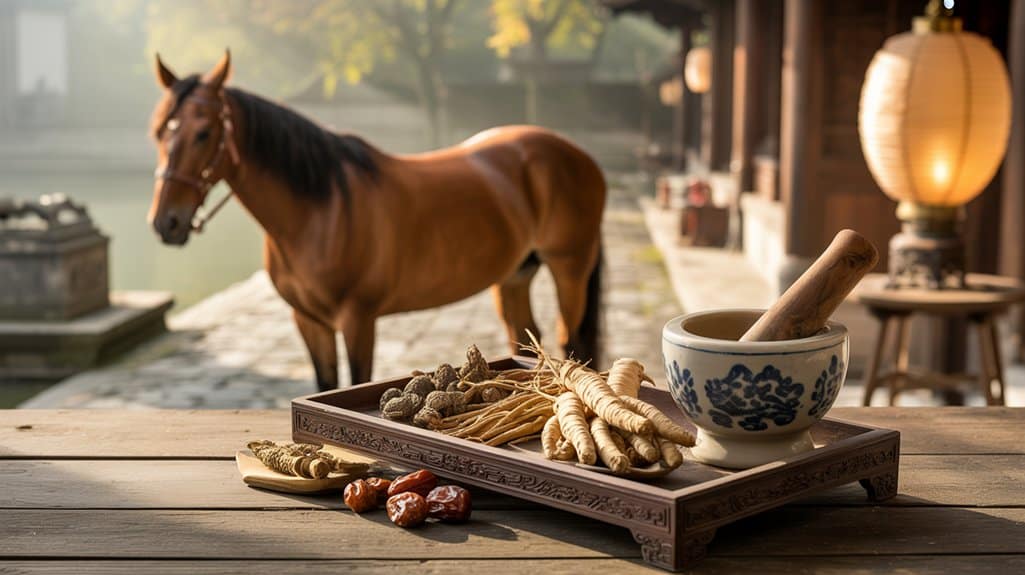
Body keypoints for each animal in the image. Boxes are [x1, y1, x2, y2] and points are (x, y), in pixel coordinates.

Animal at [147, 51, 605, 391]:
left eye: (204, 133)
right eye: (159, 132)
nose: (166, 222)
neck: (320, 210)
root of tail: (576, 154)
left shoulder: (358, 320)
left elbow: (355, 382)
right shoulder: (309, 321)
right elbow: (325, 385)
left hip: (569, 268)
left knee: (572, 341)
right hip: (514, 276)